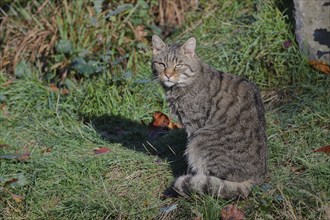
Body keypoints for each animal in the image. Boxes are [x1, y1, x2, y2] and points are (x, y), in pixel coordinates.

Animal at [152, 35, 268, 199]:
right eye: (161, 64)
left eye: (179, 65)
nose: (168, 75)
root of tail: (257, 179)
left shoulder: (194, 126)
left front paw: (190, 173)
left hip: (200, 141)